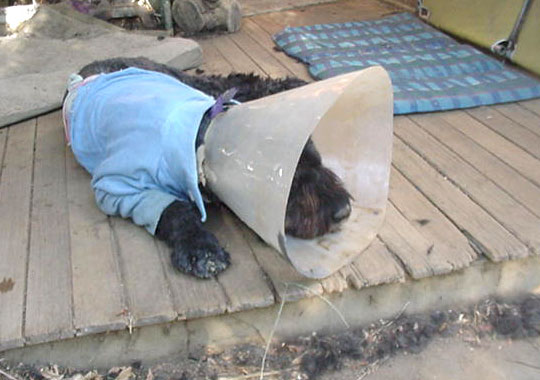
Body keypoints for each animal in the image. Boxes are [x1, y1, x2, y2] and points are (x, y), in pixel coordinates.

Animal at [65, 58, 352, 280]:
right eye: (291, 177)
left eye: (318, 160)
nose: (343, 211)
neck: (202, 141)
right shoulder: (118, 188)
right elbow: (173, 209)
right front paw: (200, 249)